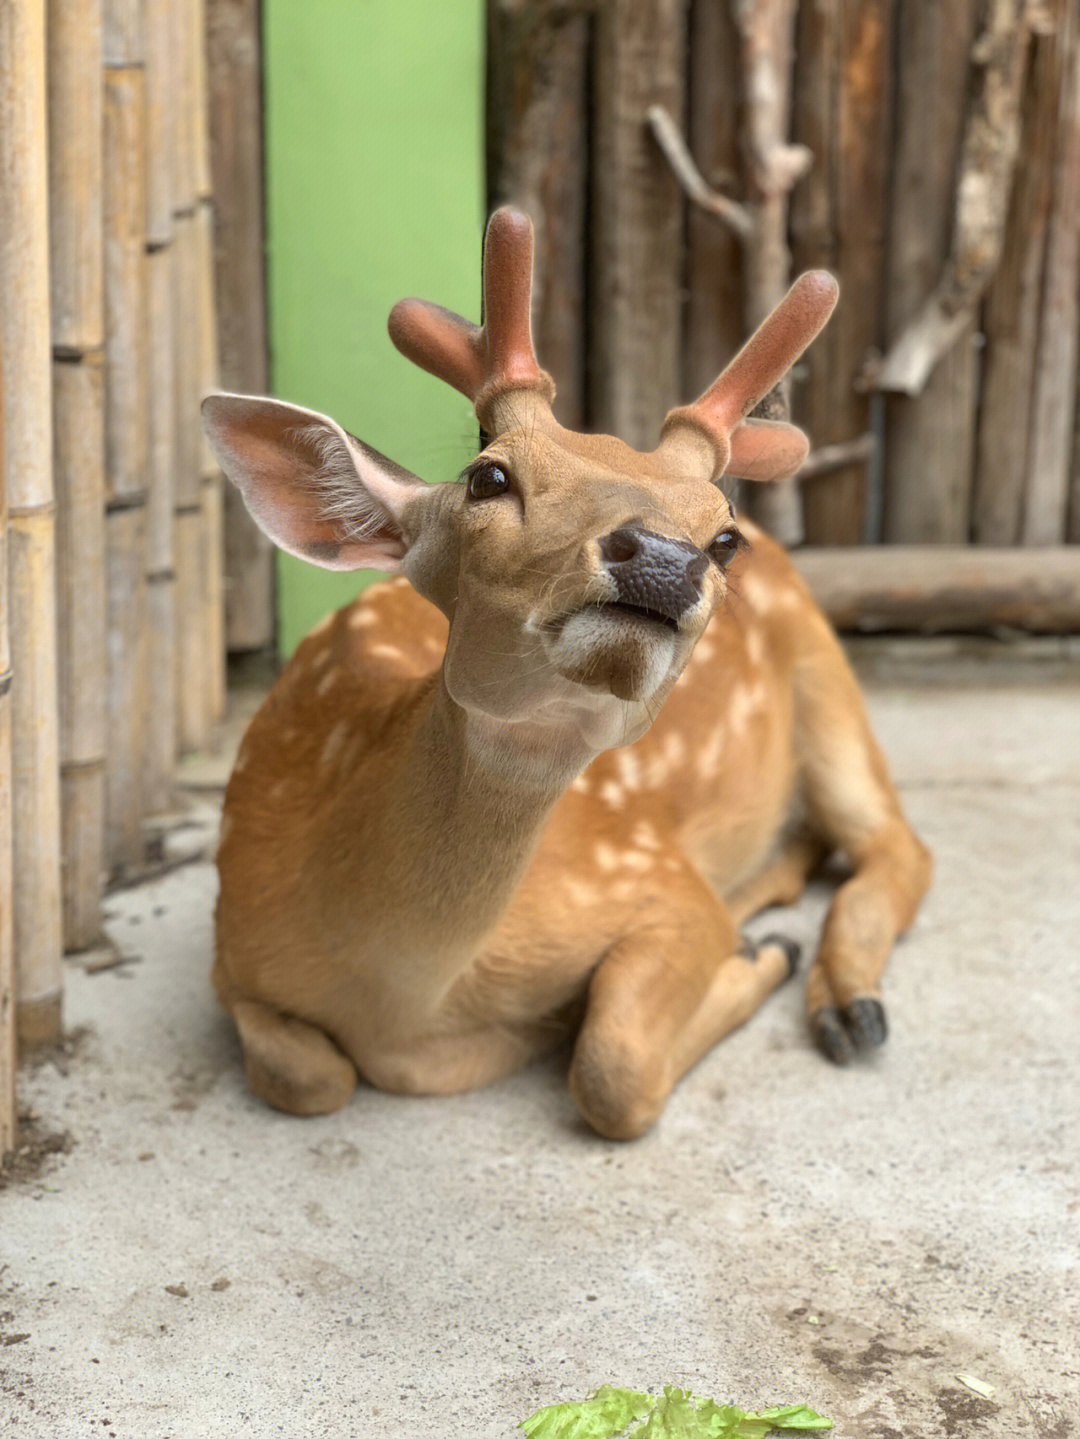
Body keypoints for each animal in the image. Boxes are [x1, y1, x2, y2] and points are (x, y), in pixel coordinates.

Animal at [201, 208, 931, 1139]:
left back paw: (843, 999)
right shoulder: (230, 952)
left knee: (896, 841)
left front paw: (759, 955)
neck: (401, 1004)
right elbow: (306, 1074)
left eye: (723, 533)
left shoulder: (653, 876)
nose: (665, 557)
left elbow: (612, 1066)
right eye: (489, 474)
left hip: (825, 674)